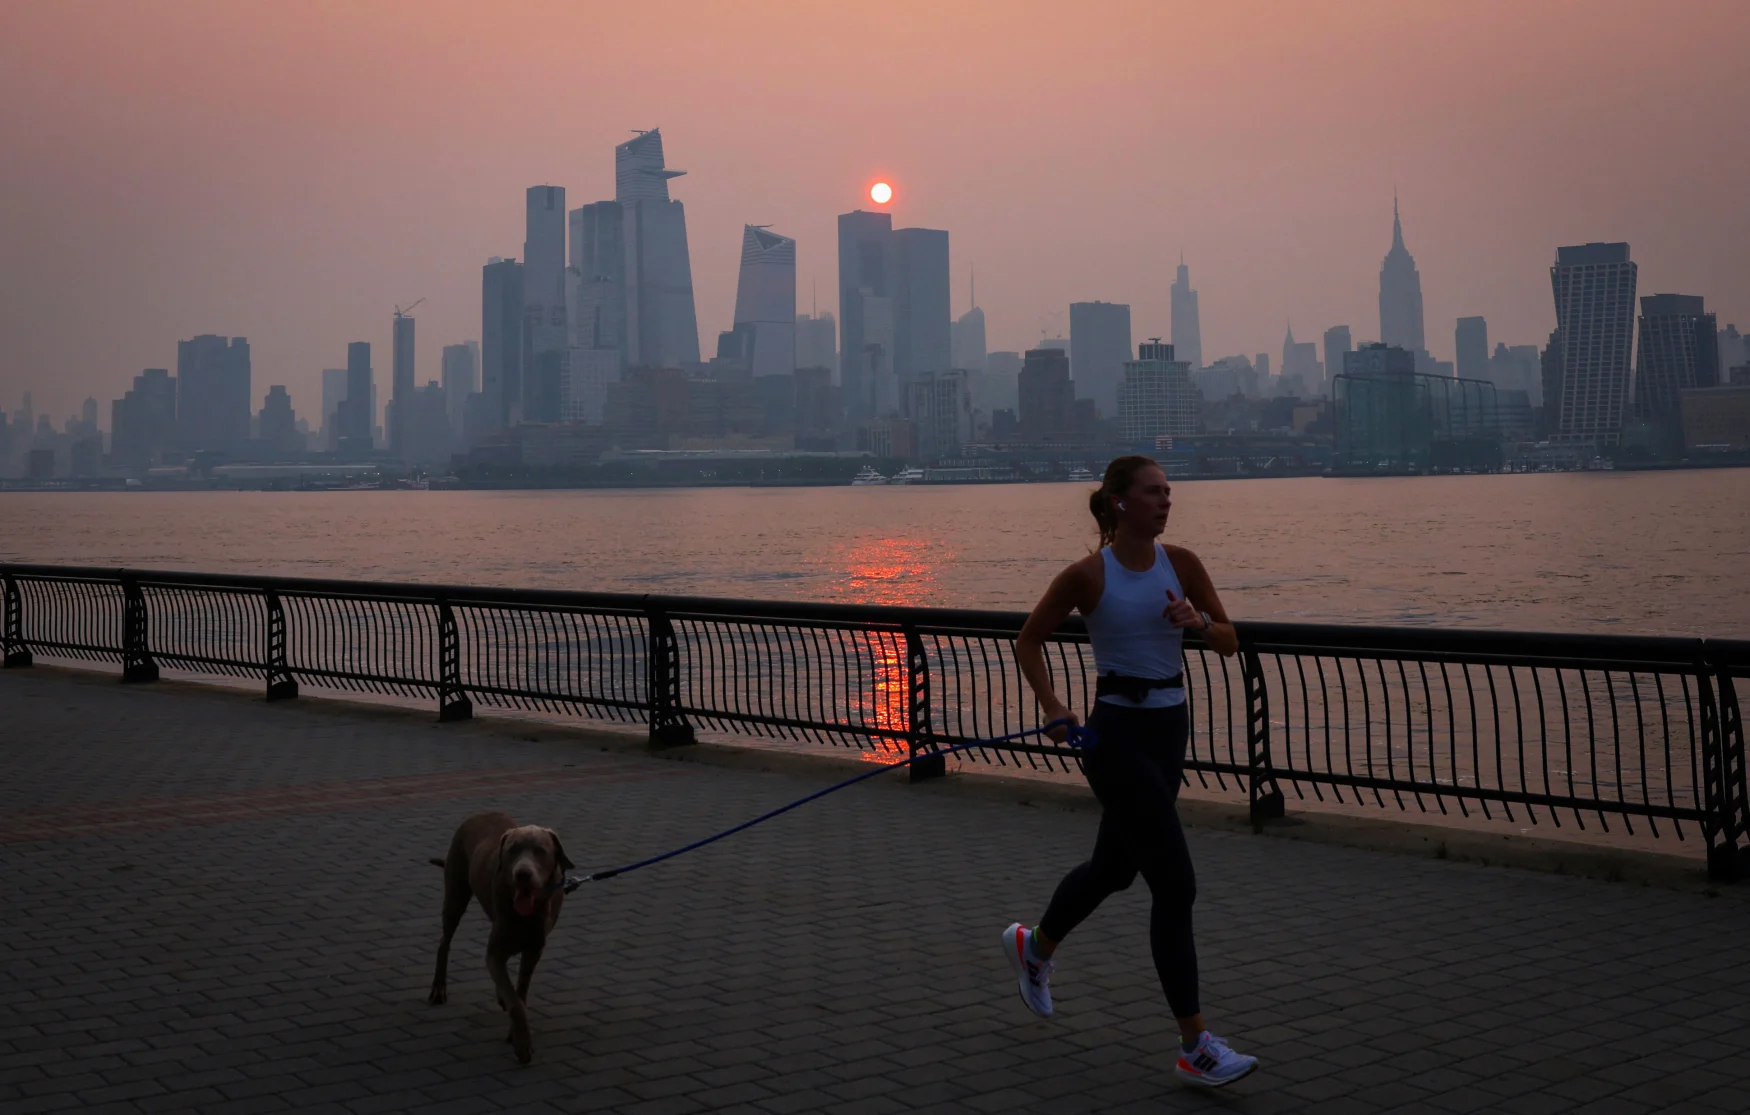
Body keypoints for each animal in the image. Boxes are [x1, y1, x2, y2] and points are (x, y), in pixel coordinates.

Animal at [428, 808, 574, 1064]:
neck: (527, 912)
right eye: (512, 849)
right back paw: (439, 988)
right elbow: (515, 1002)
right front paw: (522, 1045)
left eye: (540, 850)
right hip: (456, 892)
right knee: (444, 941)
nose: (522, 874)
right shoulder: (495, 952)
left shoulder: (533, 950)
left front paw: (516, 1032)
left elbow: (520, 993)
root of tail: (481, 813)